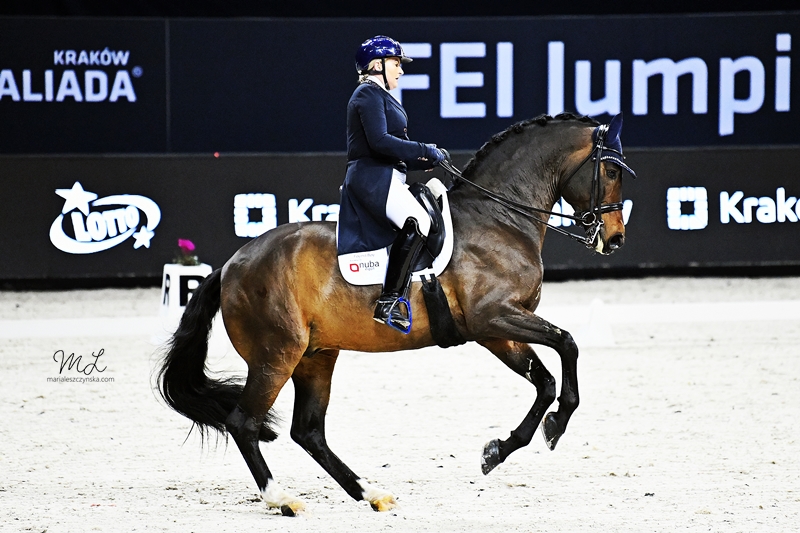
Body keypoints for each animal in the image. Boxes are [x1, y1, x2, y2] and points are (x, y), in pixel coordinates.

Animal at [157, 112, 631, 516]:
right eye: (610, 172)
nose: (615, 239)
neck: (499, 218)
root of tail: (231, 264)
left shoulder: (495, 331)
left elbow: (545, 380)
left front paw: (500, 449)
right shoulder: (493, 317)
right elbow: (567, 345)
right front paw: (555, 425)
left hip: (315, 356)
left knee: (307, 431)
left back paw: (371, 493)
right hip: (277, 354)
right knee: (245, 422)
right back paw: (282, 499)